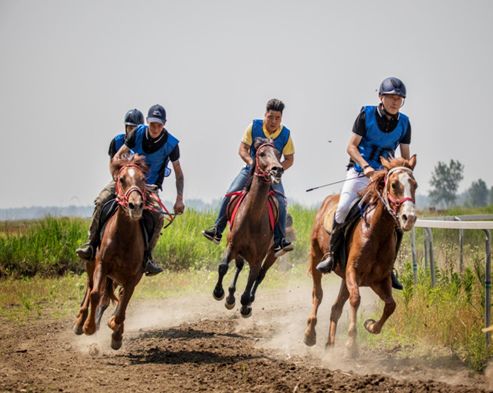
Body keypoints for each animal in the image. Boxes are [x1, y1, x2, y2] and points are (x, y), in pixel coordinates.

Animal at [73, 154, 149, 350]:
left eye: (143, 179)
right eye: (121, 179)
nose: (135, 205)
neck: (123, 237)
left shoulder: (133, 277)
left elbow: (123, 304)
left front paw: (116, 333)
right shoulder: (102, 264)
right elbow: (95, 294)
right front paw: (89, 326)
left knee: (113, 298)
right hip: (91, 264)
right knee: (90, 288)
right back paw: (80, 322)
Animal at [211, 139, 284, 316]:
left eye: (278, 154)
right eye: (261, 154)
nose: (277, 170)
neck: (253, 217)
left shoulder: (258, 257)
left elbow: (253, 276)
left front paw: (245, 305)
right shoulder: (233, 246)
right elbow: (223, 266)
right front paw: (219, 293)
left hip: (272, 254)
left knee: (260, 275)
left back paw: (249, 300)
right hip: (241, 251)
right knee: (239, 266)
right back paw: (230, 296)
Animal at [304, 154, 416, 356]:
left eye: (415, 185)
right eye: (394, 184)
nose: (409, 218)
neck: (377, 232)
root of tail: (327, 200)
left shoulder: (379, 280)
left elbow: (391, 305)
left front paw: (371, 326)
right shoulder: (353, 272)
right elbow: (356, 300)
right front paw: (351, 343)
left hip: (344, 278)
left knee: (336, 307)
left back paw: (330, 344)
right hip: (316, 256)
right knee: (318, 294)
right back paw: (309, 334)